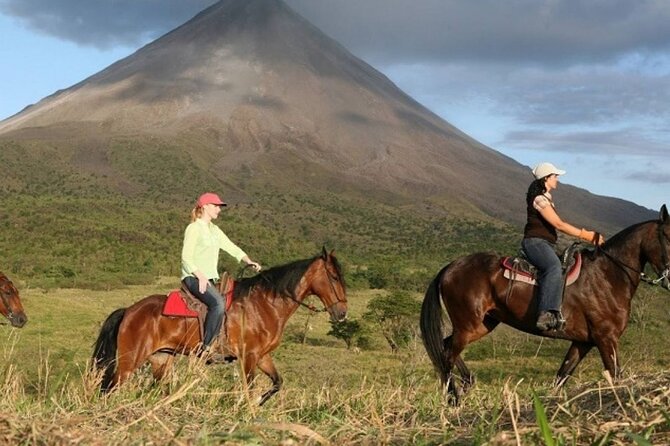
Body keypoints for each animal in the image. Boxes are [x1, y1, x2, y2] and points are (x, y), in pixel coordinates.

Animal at [93, 249, 346, 406]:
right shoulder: (249, 357)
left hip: (161, 360)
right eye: (334, 277)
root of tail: (129, 310)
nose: (342, 313)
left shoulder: (262, 356)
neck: (264, 304)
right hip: (129, 361)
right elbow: (249, 388)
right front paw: (248, 410)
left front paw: (258, 404)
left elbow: (277, 383)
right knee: (110, 388)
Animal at [422, 206, 670, 404]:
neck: (607, 275)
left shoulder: (583, 342)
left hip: (483, 324)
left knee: (445, 347)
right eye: (667, 236)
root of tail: (450, 267)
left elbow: (561, 377)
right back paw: (454, 399)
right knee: (447, 355)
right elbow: (616, 375)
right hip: (468, 326)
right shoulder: (606, 338)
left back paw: (466, 384)